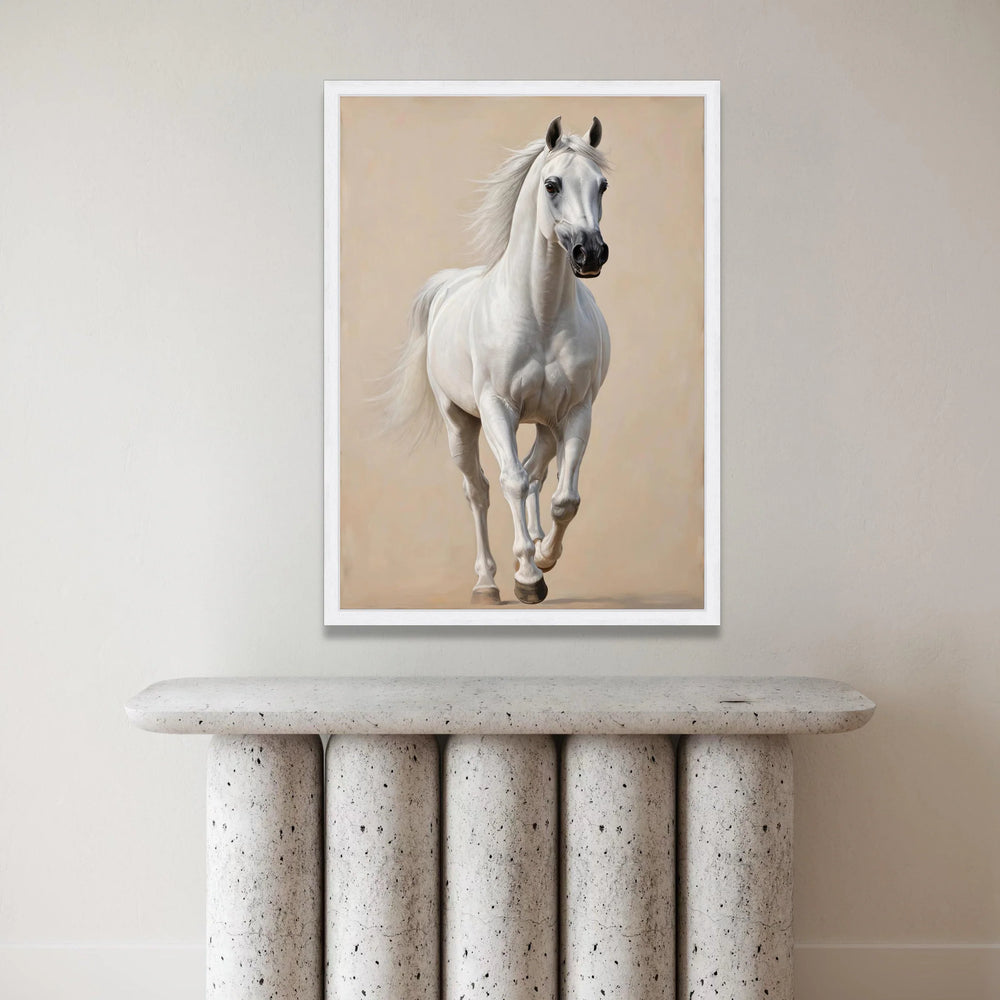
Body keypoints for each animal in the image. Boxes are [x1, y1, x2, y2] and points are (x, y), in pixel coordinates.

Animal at [386, 116, 611, 606]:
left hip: (546, 424)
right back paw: (487, 583)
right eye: (552, 184)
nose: (590, 253)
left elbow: (565, 498)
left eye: (602, 185)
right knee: (480, 490)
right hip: (460, 422)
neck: (539, 315)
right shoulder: (496, 408)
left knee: (535, 473)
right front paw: (527, 577)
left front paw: (544, 557)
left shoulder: (577, 411)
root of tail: (450, 286)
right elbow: (510, 482)